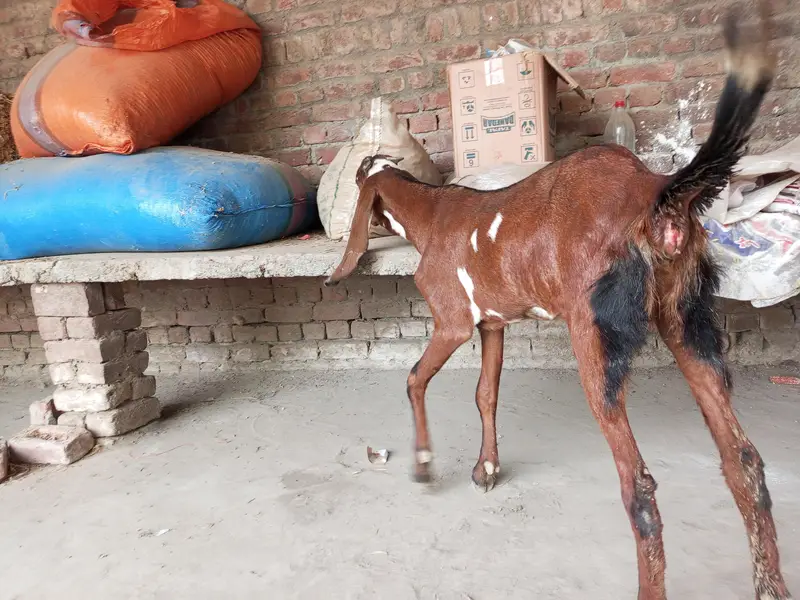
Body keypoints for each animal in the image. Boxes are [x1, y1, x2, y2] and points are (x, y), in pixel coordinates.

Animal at [326, 4, 791, 599]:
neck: (435, 213)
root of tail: (655, 193)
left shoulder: (452, 322)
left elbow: (413, 378)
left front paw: (426, 464)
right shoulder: (493, 324)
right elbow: (485, 394)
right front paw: (487, 469)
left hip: (595, 339)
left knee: (639, 486)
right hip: (689, 325)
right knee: (744, 462)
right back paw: (769, 581)